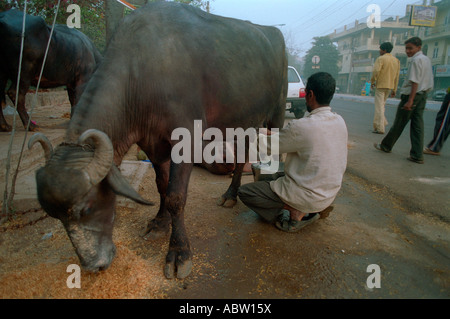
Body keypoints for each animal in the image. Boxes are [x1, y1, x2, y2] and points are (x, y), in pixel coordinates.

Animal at [29, 1, 286, 278]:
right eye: (55, 216)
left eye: (86, 209)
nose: (93, 265)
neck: (142, 76)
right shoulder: (151, 143)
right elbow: (162, 187)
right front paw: (159, 223)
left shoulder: (185, 141)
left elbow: (176, 196)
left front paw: (179, 252)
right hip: (243, 122)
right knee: (244, 152)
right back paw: (230, 194)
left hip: (276, 117)